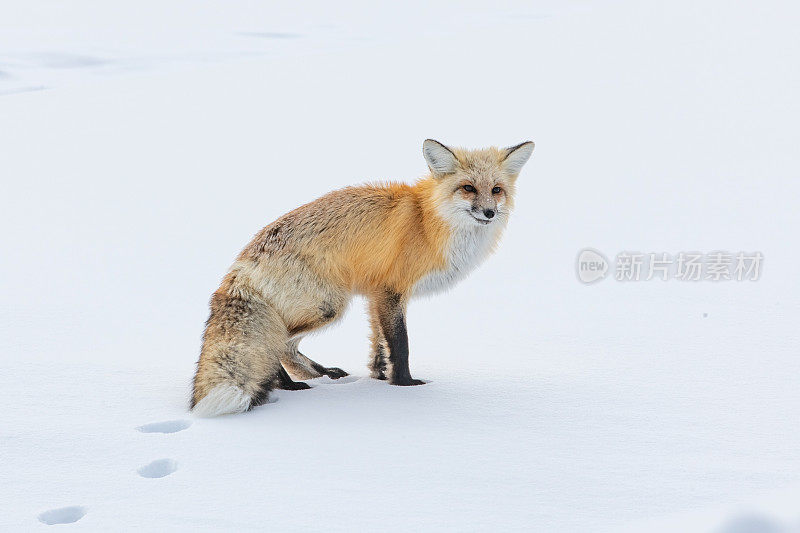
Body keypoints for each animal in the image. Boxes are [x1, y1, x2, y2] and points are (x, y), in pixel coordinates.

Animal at [191, 138, 536, 416]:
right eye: (468, 188)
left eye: (496, 190)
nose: (489, 213)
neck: (428, 223)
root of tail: (243, 261)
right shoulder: (390, 290)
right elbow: (400, 343)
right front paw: (407, 385)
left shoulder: (375, 295)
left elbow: (379, 346)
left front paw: (380, 378)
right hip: (327, 307)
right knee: (277, 345)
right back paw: (291, 386)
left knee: (286, 349)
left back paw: (321, 375)